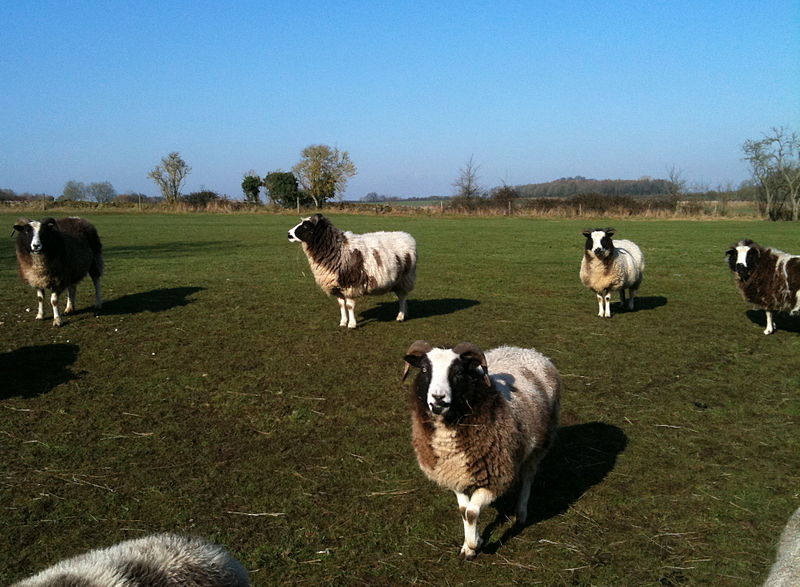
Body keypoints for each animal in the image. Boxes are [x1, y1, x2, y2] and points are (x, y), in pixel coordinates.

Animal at [288, 214, 416, 328]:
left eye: (306, 226)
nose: (289, 234)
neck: (337, 248)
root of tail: (407, 236)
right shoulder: (337, 286)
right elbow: (341, 305)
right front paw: (343, 322)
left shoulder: (350, 284)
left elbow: (349, 306)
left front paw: (352, 324)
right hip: (398, 281)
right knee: (402, 297)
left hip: (406, 278)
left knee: (402, 297)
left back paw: (400, 316)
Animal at [400, 340, 564, 560]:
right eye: (425, 369)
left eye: (458, 372)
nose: (438, 399)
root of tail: (527, 351)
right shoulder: (456, 475)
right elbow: (464, 510)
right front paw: (470, 545)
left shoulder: (495, 477)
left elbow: (472, 513)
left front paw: (474, 544)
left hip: (541, 443)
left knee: (528, 476)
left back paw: (521, 513)